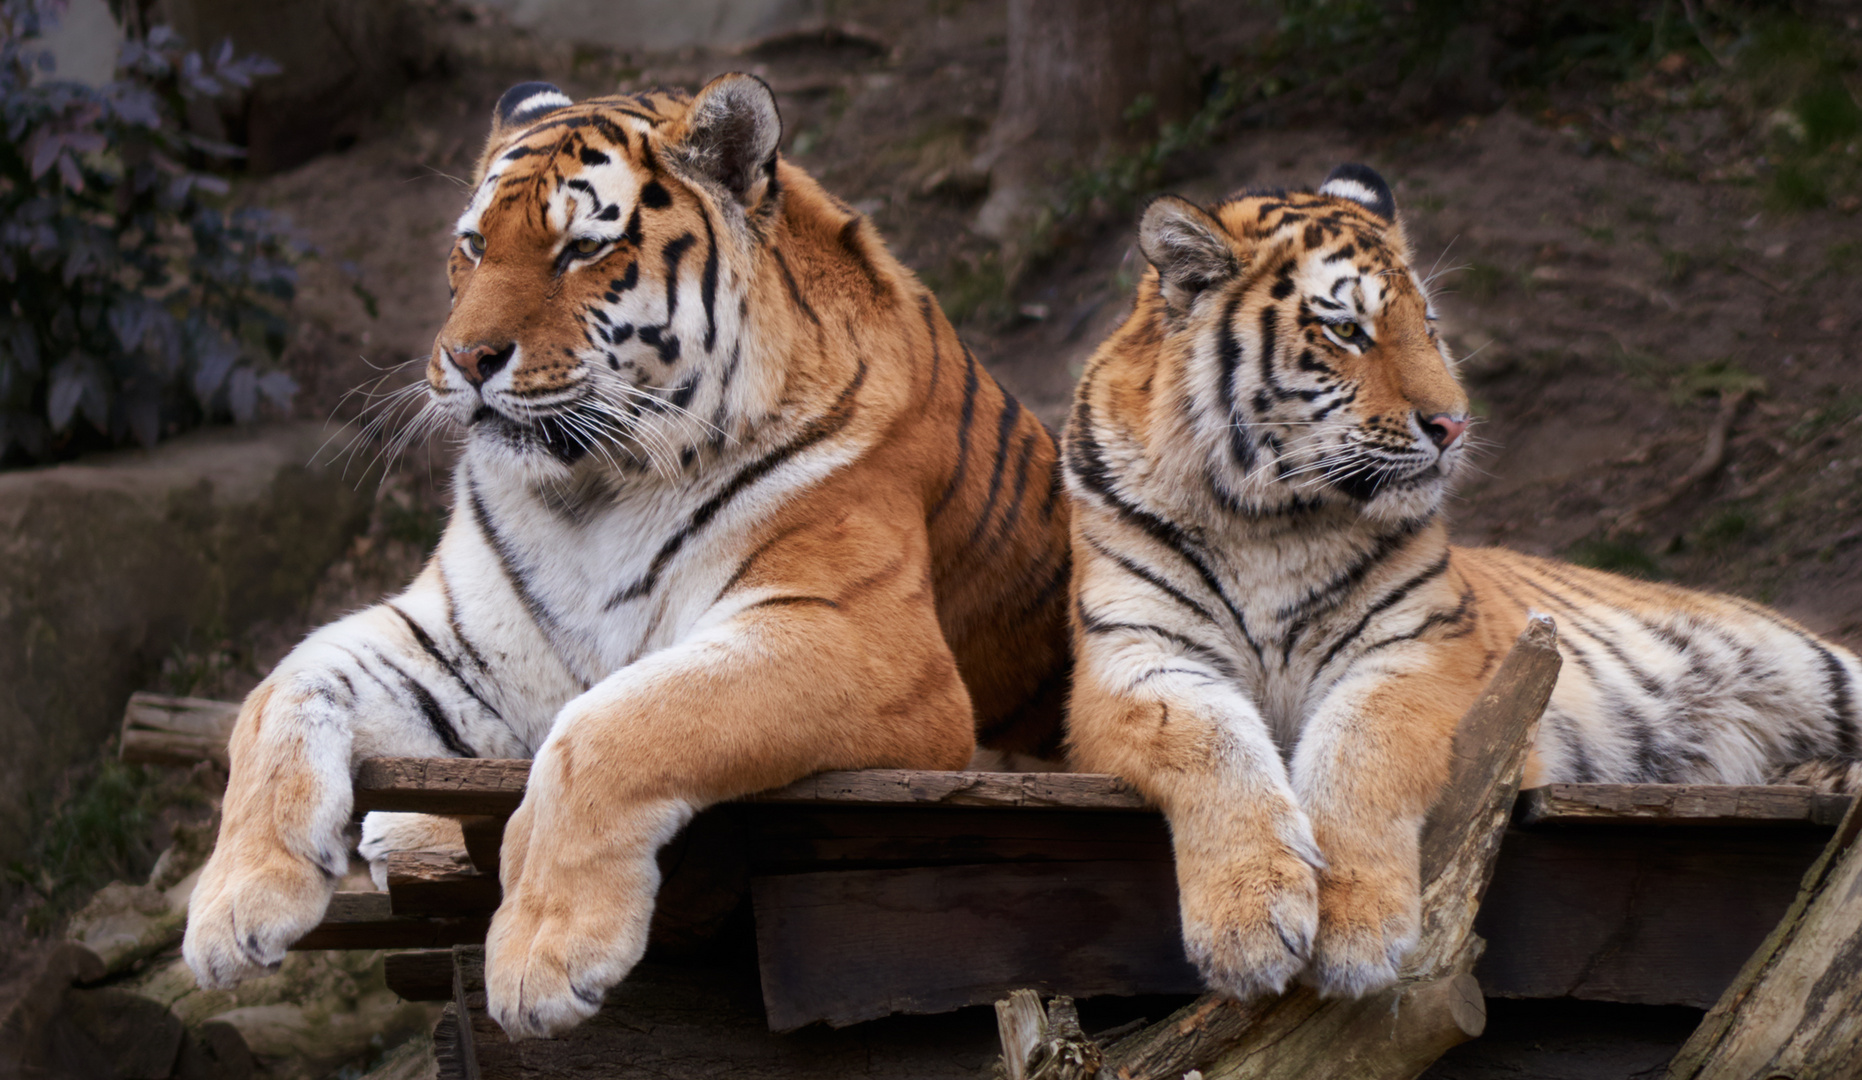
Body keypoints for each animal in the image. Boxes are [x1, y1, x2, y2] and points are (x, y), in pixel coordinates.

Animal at [185, 75, 1079, 1035]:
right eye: (473, 245)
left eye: (580, 249)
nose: (463, 358)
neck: (593, 492)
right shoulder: (455, 646)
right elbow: (276, 690)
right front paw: (232, 907)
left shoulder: (863, 644)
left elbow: (609, 723)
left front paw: (542, 957)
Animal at [1065, 162, 1862, 1005]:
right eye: (1347, 331)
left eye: (1430, 325)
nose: (1454, 425)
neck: (1268, 521)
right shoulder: (1137, 658)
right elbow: (1213, 748)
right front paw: (1249, 928)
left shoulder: (1423, 651)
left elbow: (1359, 751)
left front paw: (1355, 930)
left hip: (1814, 667)